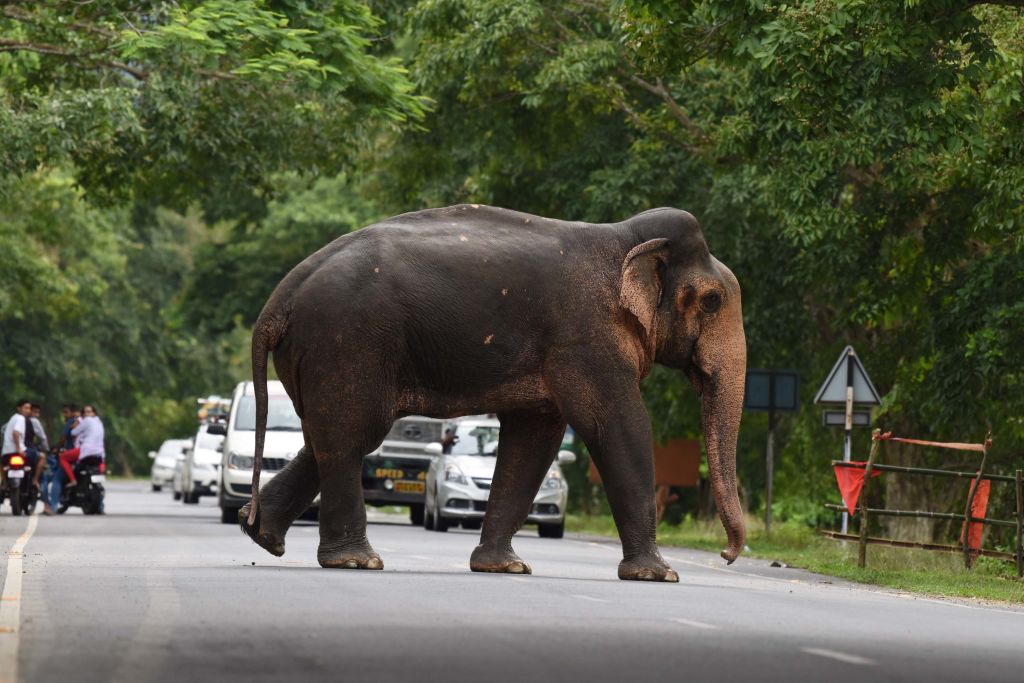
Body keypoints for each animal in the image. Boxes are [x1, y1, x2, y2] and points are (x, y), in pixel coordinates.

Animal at [239, 204, 746, 582]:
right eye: (713, 301)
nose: (726, 555)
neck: (624, 238)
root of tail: (281, 296)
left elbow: (534, 438)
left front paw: (504, 568)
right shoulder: (586, 336)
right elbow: (618, 425)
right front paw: (659, 574)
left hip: (325, 351)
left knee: (328, 438)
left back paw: (263, 535)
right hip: (348, 341)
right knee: (352, 436)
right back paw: (356, 561)